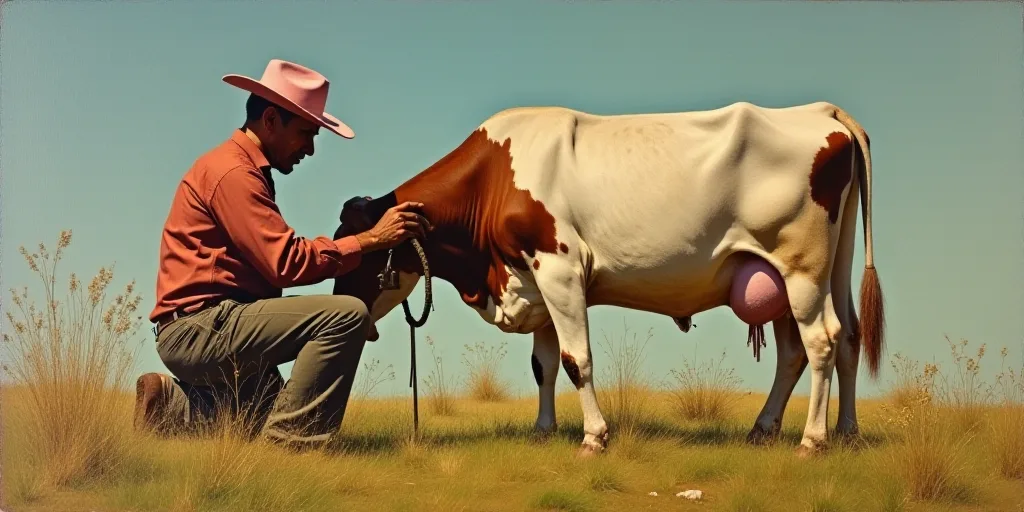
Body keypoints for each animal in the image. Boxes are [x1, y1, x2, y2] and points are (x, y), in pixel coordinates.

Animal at [331, 100, 885, 458]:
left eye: (360, 259)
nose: (353, 313)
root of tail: (819, 111)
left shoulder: (560, 270)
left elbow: (577, 361)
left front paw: (593, 437)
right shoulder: (533, 281)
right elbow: (544, 365)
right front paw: (543, 430)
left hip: (801, 268)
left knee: (821, 341)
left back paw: (812, 441)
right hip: (818, 270)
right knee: (834, 342)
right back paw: (827, 432)